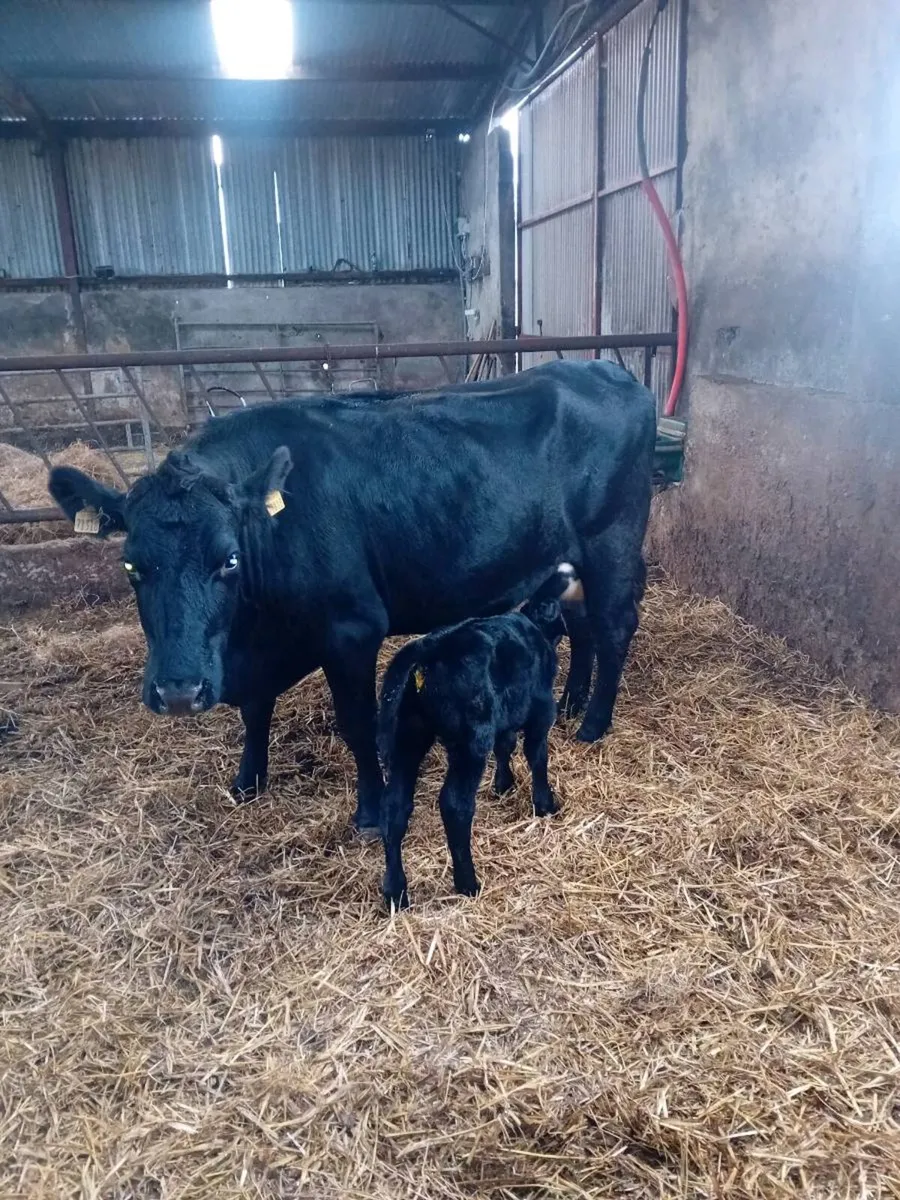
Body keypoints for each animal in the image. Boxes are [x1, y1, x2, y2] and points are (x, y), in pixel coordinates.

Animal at [48, 359, 655, 838]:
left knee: (614, 625)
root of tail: (605, 369)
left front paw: (370, 812)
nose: (178, 691)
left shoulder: (352, 630)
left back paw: (593, 724)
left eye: (229, 559)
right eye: (131, 566)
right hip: (567, 561)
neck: (252, 633)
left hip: (612, 541)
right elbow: (254, 711)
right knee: (582, 625)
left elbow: (357, 726)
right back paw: (571, 701)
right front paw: (247, 782)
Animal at [377, 565, 576, 909]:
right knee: (455, 804)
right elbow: (536, 755)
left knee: (395, 808)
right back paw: (467, 882)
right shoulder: (540, 710)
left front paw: (503, 784)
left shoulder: (506, 713)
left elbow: (506, 744)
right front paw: (545, 804)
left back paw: (396, 892)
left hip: (407, 735)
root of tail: (424, 655)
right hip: (469, 739)